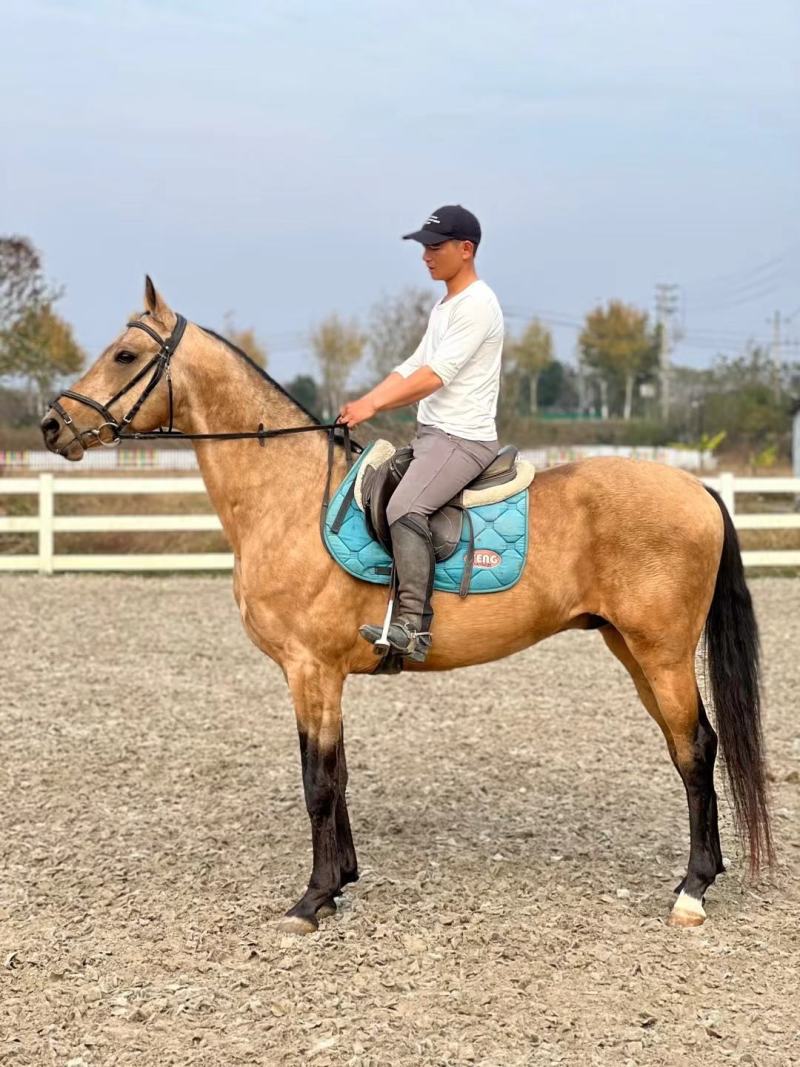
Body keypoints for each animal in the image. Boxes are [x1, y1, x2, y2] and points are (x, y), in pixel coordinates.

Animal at [41, 278, 773, 934]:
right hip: (633, 649)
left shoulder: (310, 669)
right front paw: (341, 881)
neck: (287, 494)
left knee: (696, 749)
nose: (53, 424)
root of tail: (699, 489)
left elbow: (317, 781)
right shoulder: (324, 675)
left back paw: (693, 890)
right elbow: (337, 773)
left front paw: (312, 900)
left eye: (125, 355)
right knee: (687, 747)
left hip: (662, 651)